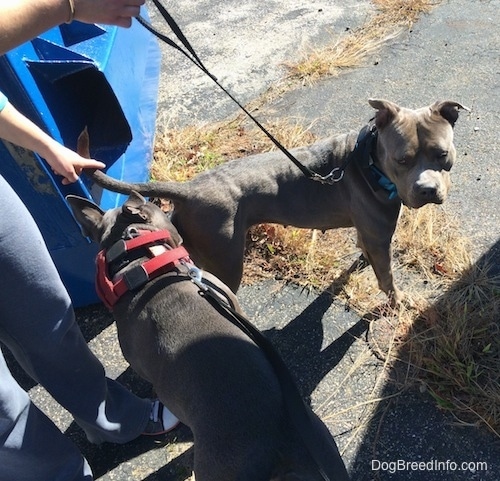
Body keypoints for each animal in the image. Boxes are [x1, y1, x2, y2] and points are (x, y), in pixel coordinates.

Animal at [85, 98, 464, 302]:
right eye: (403, 160)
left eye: (442, 154)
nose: (427, 190)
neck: (369, 160)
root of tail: (189, 188)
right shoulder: (380, 238)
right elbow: (386, 278)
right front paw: (397, 303)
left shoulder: (369, 235)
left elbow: (366, 252)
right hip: (226, 258)